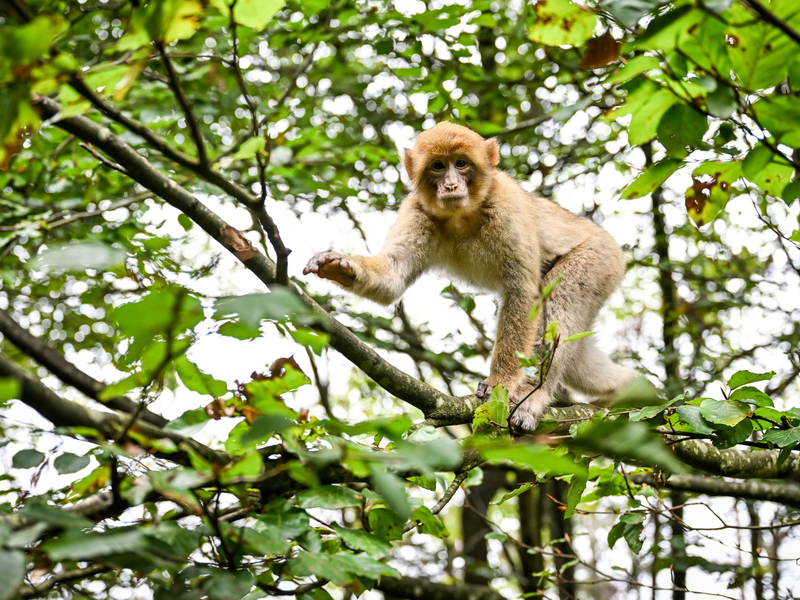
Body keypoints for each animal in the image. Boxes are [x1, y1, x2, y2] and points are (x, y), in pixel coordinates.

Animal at [303, 122, 634, 430]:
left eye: (461, 163)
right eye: (438, 166)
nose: (451, 185)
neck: (462, 215)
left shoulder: (507, 207)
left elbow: (523, 292)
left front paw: (501, 381)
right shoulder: (417, 211)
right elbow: (393, 276)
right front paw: (339, 265)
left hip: (599, 260)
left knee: (560, 303)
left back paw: (535, 395)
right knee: (578, 357)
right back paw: (628, 390)